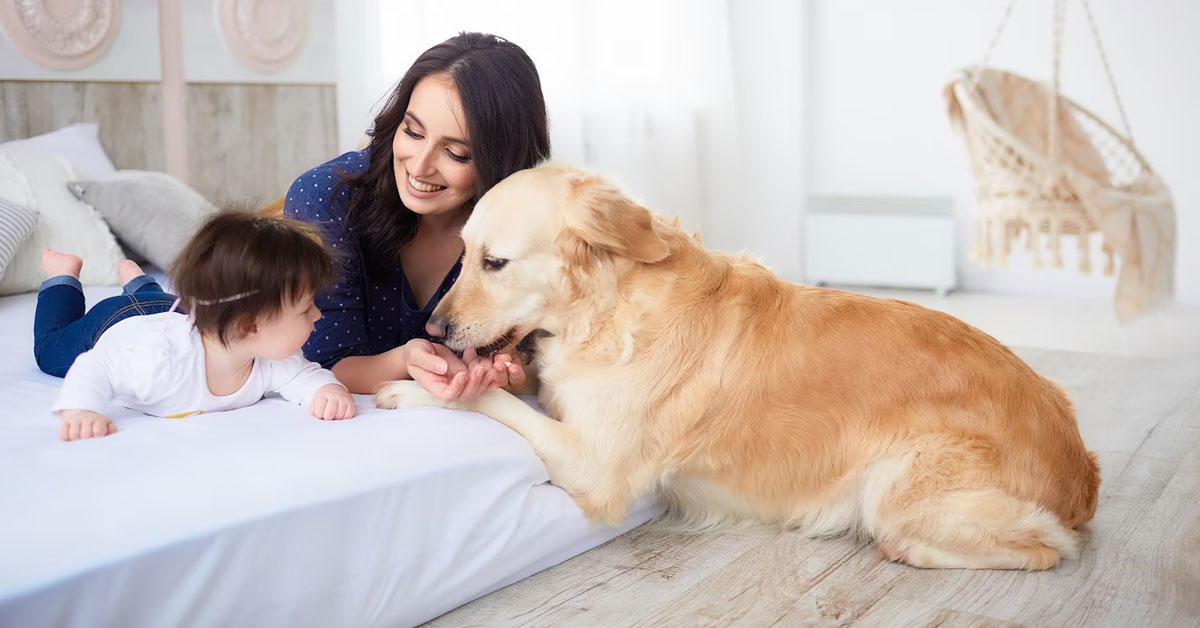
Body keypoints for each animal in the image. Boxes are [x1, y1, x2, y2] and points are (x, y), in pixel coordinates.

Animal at [374, 162, 1099, 569]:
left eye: (494, 262)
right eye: (463, 254)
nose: (432, 329)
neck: (608, 310)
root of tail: (1081, 467)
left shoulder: (596, 467)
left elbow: (489, 400)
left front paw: (416, 388)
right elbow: (521, 382)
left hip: (894, 485)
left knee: (1048, 551)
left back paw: (911, 549)